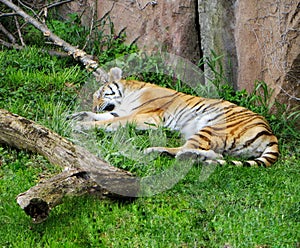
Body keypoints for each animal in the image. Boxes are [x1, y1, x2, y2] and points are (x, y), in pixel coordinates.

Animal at [71, 67, 280, 167]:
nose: (94, 104)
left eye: (99, 94)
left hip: (212, 127)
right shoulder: (123, 111)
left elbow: (110, 121)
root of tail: (269, 133)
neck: (128, 94)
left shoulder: (146, 116)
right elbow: (103, 116)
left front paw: (82, 126)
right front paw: (77, 115)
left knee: (183, 151)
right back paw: (195, 157)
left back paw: (156, 151)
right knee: (215, 154)